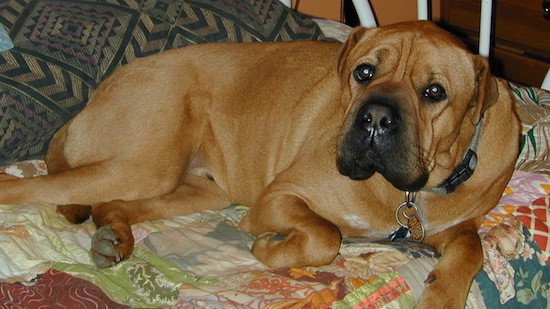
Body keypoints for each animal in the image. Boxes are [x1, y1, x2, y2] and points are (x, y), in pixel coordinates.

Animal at [0, 21, 520, 306]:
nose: (375, 117)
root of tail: (93, 97)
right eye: (364, 72)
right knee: (24, 188)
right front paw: (271, 248)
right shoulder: (279, 197)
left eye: (434, 92)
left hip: (195, 189)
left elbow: (470, 247)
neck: (407, 191)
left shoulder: (455, 228)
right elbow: (323, 235)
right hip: (144, 165)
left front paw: (441, 295)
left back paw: (114, 237)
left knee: (113, 204)